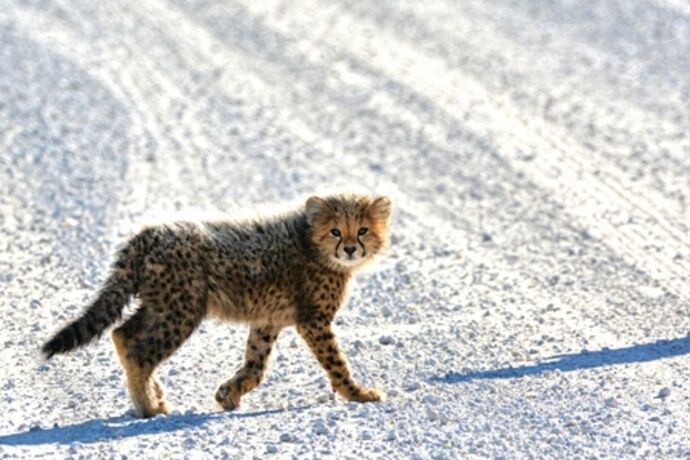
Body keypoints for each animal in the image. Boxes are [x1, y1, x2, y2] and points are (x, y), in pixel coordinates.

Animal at [43, 193, 392, 416]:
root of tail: (148, 233)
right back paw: (149, 408)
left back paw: (152, 396)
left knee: (123, 334)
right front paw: (358, 393)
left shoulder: (268, 320)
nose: (350, 249)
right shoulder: (313, 320)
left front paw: (228, 394)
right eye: (335, 231)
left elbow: (256, 366)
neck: (311, 242)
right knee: (140, 353)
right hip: (182, 309)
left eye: (363, 230)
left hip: (160, 302)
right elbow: (337, 362)